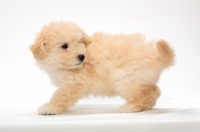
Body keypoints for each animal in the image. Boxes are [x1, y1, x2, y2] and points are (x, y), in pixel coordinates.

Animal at [30, 21, 175, 114]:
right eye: (64, 46)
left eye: (80, 42)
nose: (81, 56)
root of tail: (154, 56)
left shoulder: (73, 84)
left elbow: (60, 97)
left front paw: (49, 108)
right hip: (139, 80)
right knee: (154, 92)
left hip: (125, 79)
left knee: (143, 95)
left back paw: (130, 108)